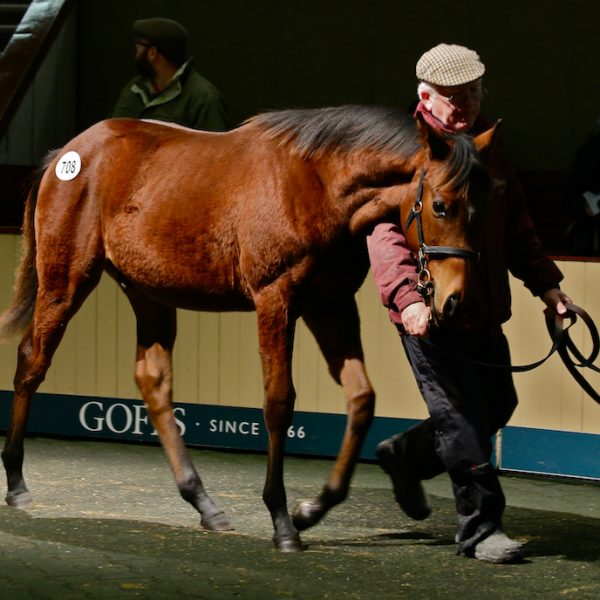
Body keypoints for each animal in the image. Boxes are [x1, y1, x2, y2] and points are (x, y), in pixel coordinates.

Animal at [0, 105, 494, 552]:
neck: (316, 183)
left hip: (148, 295)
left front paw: (312, 509)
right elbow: (278, 403)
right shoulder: (275, 301)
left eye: (480, 209)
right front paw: (282, 521)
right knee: (32, 361)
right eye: (441, 206)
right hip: (65, 282)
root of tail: (66, 153)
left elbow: (361, 399)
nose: (455, 300)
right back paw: (17, 481)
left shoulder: (330, 306)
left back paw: (203, 502)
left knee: (153, 383)